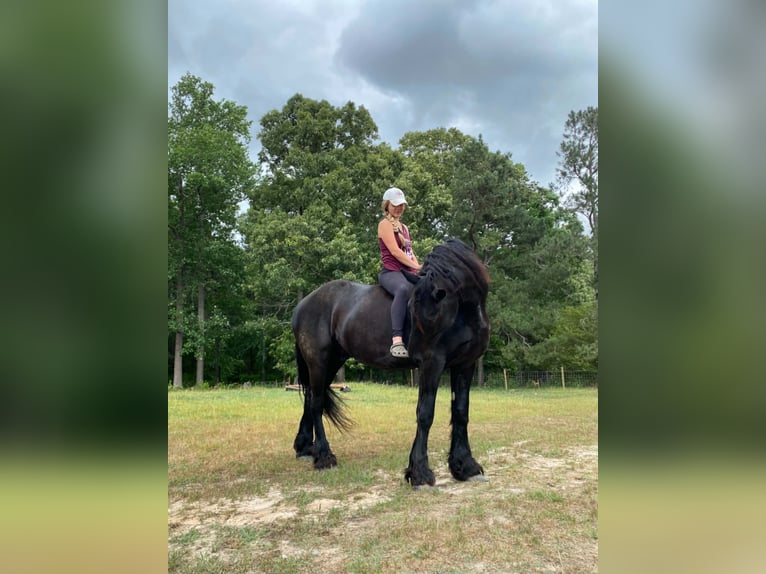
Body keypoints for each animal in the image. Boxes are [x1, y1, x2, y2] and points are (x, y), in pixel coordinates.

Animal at [291, 239, 490, 487]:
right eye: (412, 304)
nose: (418, 341)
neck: (463, 313)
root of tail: (302, 305)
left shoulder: (465, 364)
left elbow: (461, 412)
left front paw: (465, 466)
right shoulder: (431, 364)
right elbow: (425, 414)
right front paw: (419, 472)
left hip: (331, 362)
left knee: (310, 399)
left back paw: (306, 448)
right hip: (318, 361)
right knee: (317, 404)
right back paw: (324, 456)